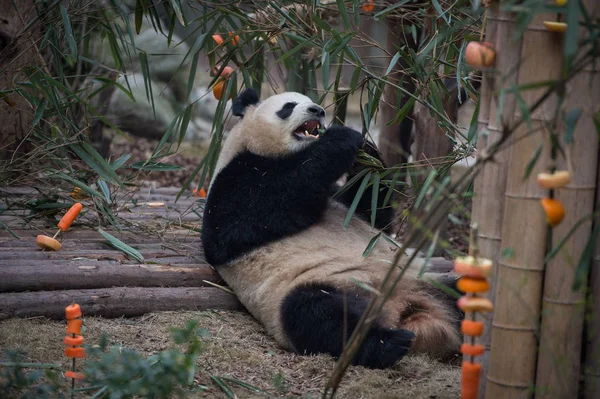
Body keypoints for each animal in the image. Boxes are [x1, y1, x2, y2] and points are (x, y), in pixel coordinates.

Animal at [202, 89, 460, 370]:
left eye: (312, 101)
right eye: (288, 106)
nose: (317, 110)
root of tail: (408, 311)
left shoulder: (340, 198)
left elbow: (372, 213)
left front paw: (367, 157)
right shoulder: (234, 178)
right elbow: (246, 219)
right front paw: (343, 138)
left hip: (425, 280)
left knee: (463, 291)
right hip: (313, 287)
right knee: (317, 314)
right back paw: (387, 343)